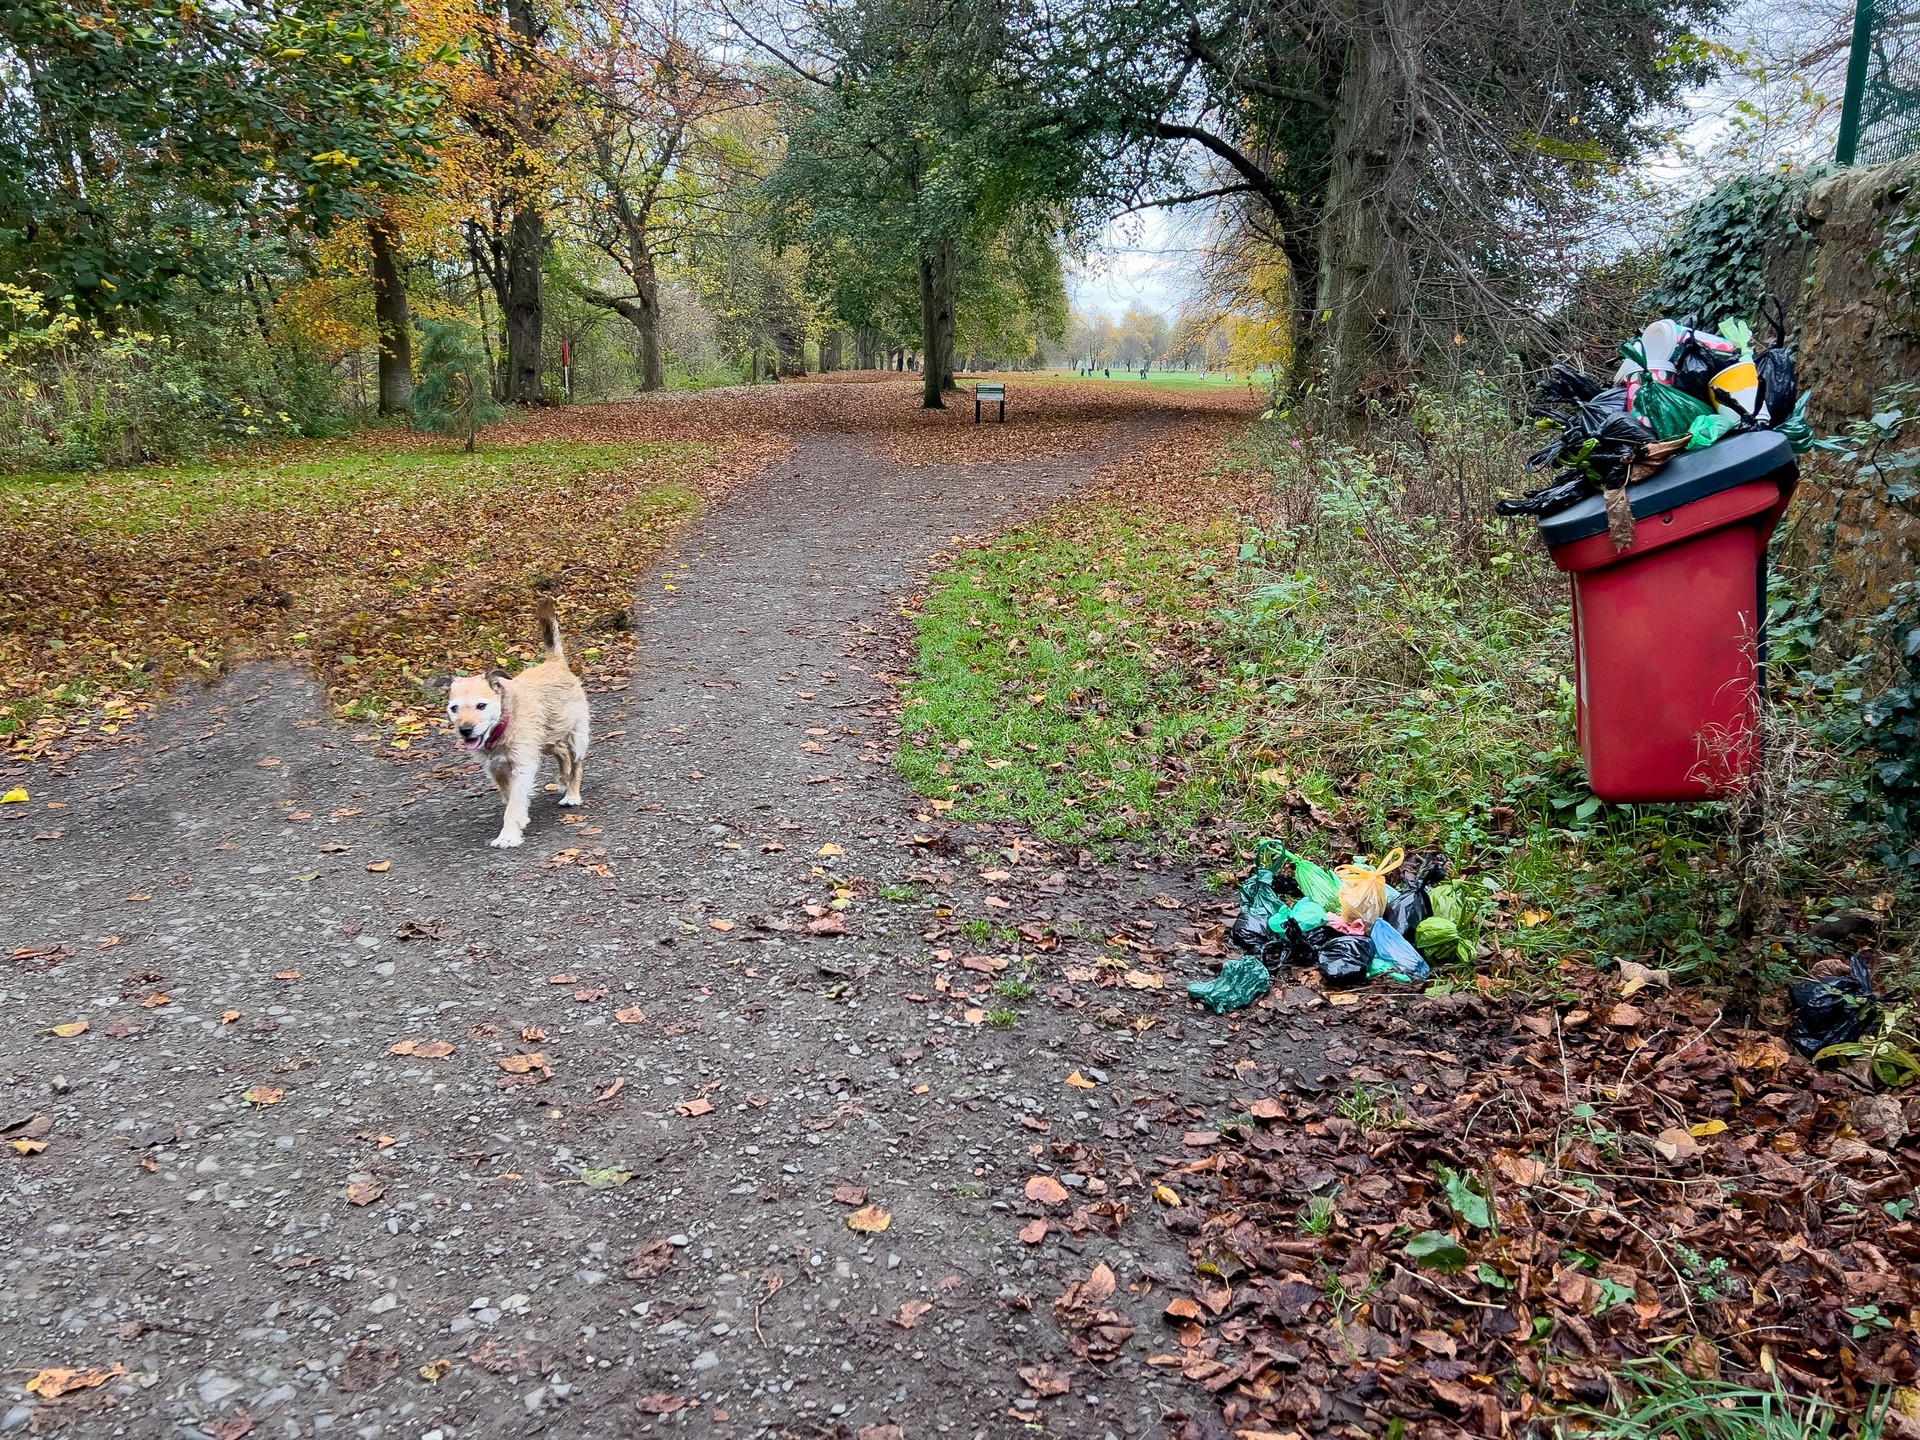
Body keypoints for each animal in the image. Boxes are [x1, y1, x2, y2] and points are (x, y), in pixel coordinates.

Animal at [445, 602, 587, 852]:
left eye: (481, 706)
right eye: (454, 708)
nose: (465, 730)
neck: (503, 723)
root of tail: (555, 662)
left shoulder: (523, 765)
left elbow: (514, 803)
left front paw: (508, 835)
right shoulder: (495, 767)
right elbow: (509, 794)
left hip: (576, 737)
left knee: (575, 763)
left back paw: (571, 793)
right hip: (546, 737)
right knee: (560, 752)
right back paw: (562, 779)